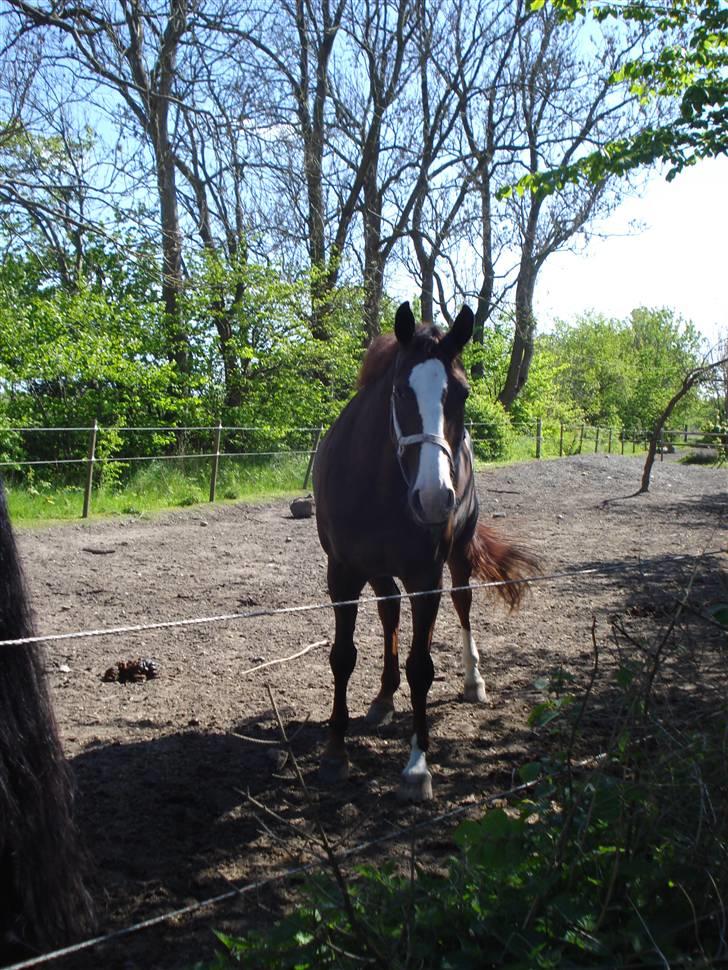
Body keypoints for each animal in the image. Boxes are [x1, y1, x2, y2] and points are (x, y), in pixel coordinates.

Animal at [312, 304, 536, 800]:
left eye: (463, 394)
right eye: (399, 390)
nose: (434, 498)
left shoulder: (425, 576)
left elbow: (422, 667)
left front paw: (417, 765)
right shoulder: (343, 573)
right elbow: (343, 656)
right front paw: (335, 749)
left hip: (455, 560)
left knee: (461, 604)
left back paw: (473, 681)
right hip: (379, 571)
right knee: (391, 611)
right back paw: (383, 698)